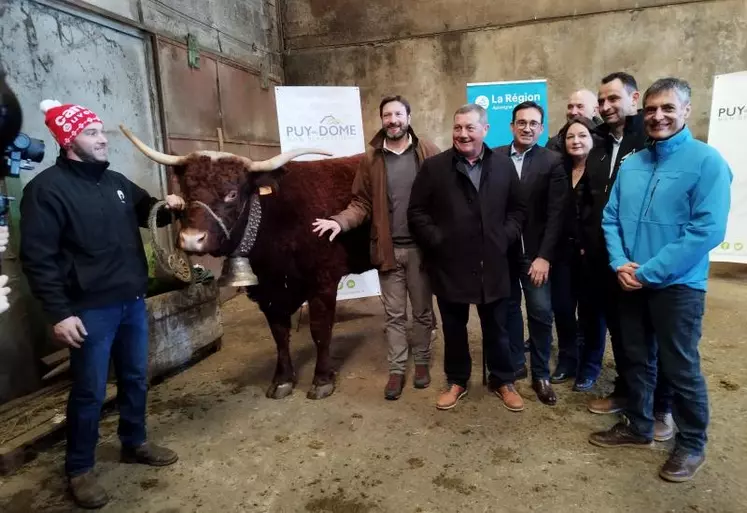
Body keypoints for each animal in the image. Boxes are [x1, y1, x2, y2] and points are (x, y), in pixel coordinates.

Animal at [120, 126, 374, 398]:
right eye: (186, 192)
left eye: (232, 193)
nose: (191, 240)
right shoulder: (266, 291)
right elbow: (279, 334)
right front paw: (282, 380)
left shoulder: (323, 281)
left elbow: (320, 330)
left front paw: (322, 380)